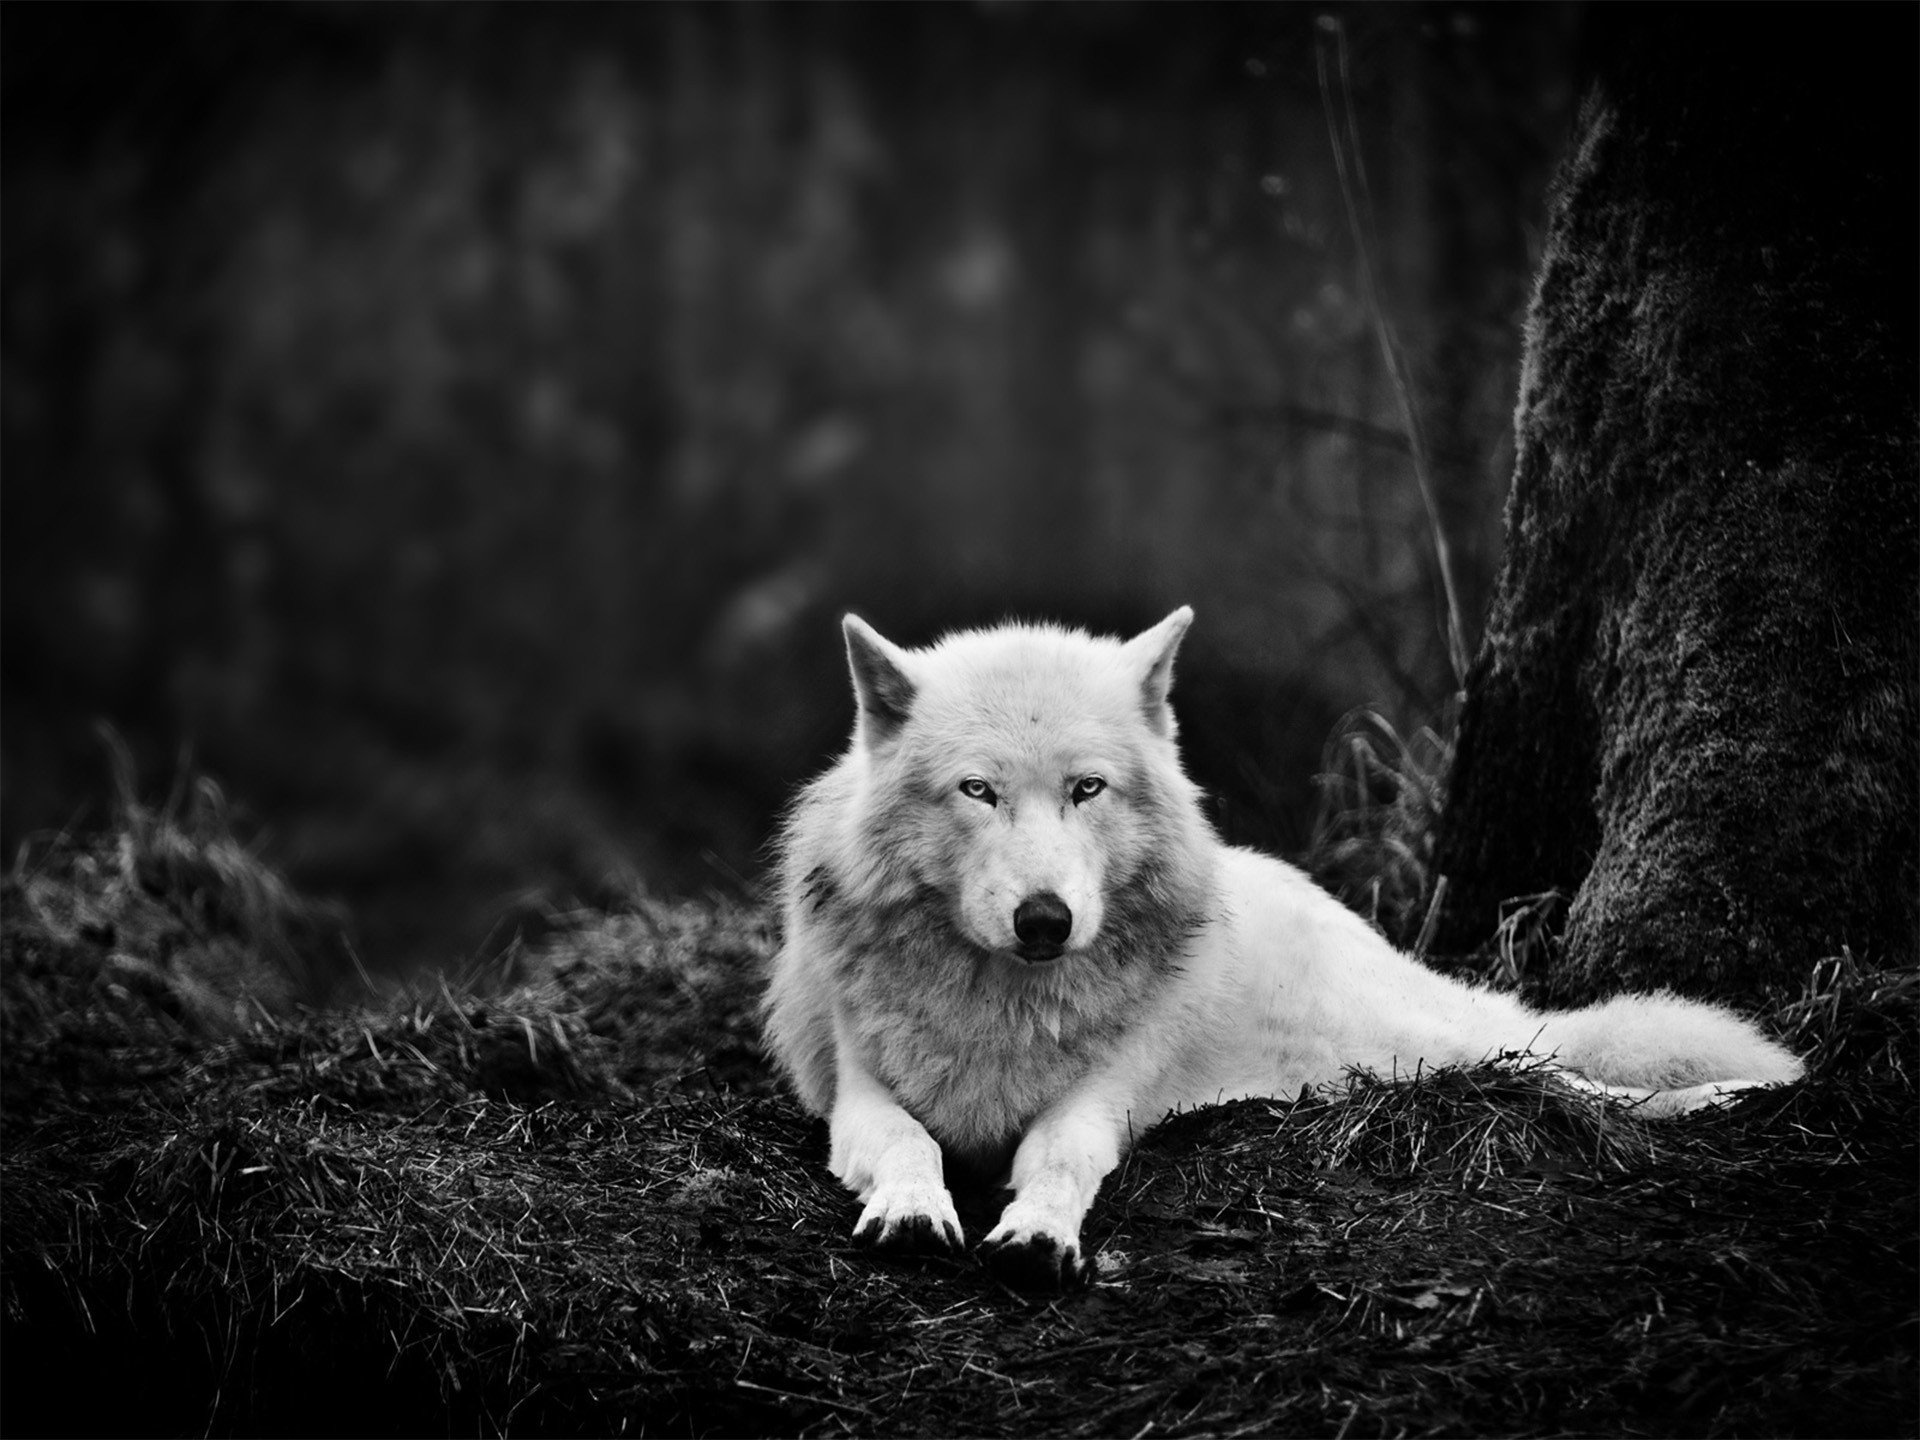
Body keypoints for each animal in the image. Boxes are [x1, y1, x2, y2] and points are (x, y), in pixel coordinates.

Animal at [760, 614, 1797, 1290]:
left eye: (1087, 789)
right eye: (977, 790)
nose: (1045, 920)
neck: (1006, 1004)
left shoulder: (1101, 1100)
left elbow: (1057, 1156)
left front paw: (1040, 1234)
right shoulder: (857, 1092)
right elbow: (907, 1141)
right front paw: (912, 1210)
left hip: (1428, 1048)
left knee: (1567, 1073)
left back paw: (1739, 1093)